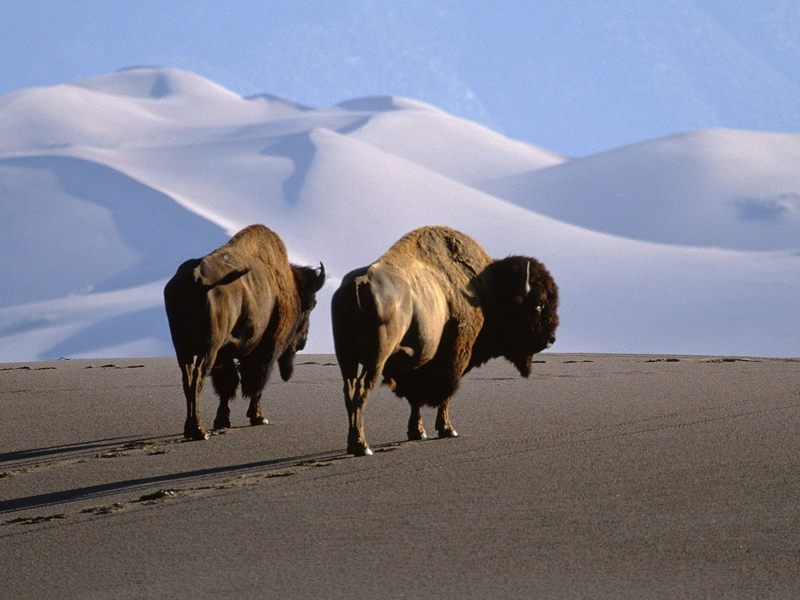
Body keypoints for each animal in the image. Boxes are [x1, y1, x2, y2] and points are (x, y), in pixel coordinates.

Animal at [164, 225, 326, 440]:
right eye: (311, 304)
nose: (303, 343)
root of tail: (196, 277)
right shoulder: (265, 349)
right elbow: (255, 382)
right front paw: (259, 417)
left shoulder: (225, 355)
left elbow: (228, 385)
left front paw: (223, 420)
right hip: (208, 349)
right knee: (198, 378)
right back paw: (200, 430)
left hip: (183, 349)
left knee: (188, 380)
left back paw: (190, 428)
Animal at [330, 225, 556, 454]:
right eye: (538, 304)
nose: (551, 338)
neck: (486, 289)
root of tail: (358, 284)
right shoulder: (455, 358)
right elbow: (445, 395)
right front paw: (448, 429)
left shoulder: (417, 364)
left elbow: (415, 399)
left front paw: (418, 432)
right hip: (375, 358)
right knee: (361, 390)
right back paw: (362, 446)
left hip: (346, 357)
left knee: (349, 390)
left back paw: (353, 443)